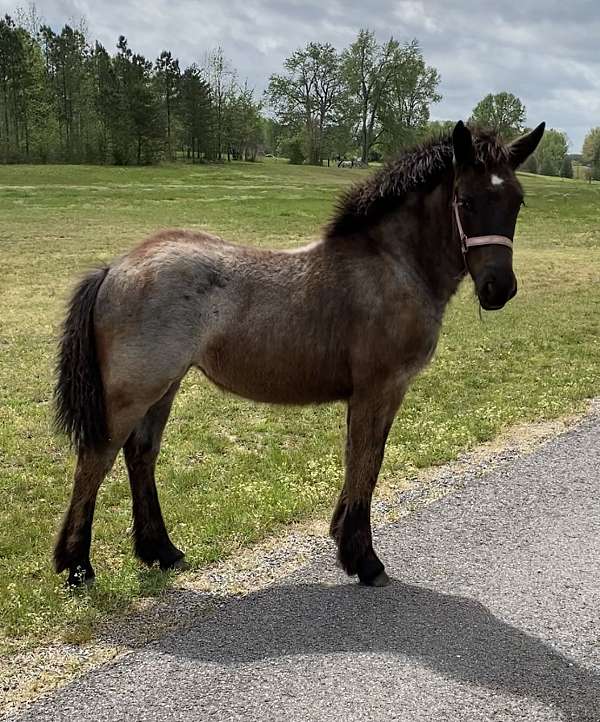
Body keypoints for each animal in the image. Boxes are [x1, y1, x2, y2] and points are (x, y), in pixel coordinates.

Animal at [54, 121, 545, 588]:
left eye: (518, 202)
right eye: (464, 200)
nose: (498, 288)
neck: (393, 265)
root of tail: (115, 267)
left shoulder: (374, 395)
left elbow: (360, 457)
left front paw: (344, 540)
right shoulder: (380, 388)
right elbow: (367, 460)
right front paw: (364, 560)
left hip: (165, 386)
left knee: (141, 454)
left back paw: (161, 551)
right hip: (134, 389)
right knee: (96, 459)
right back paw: (77, 566)